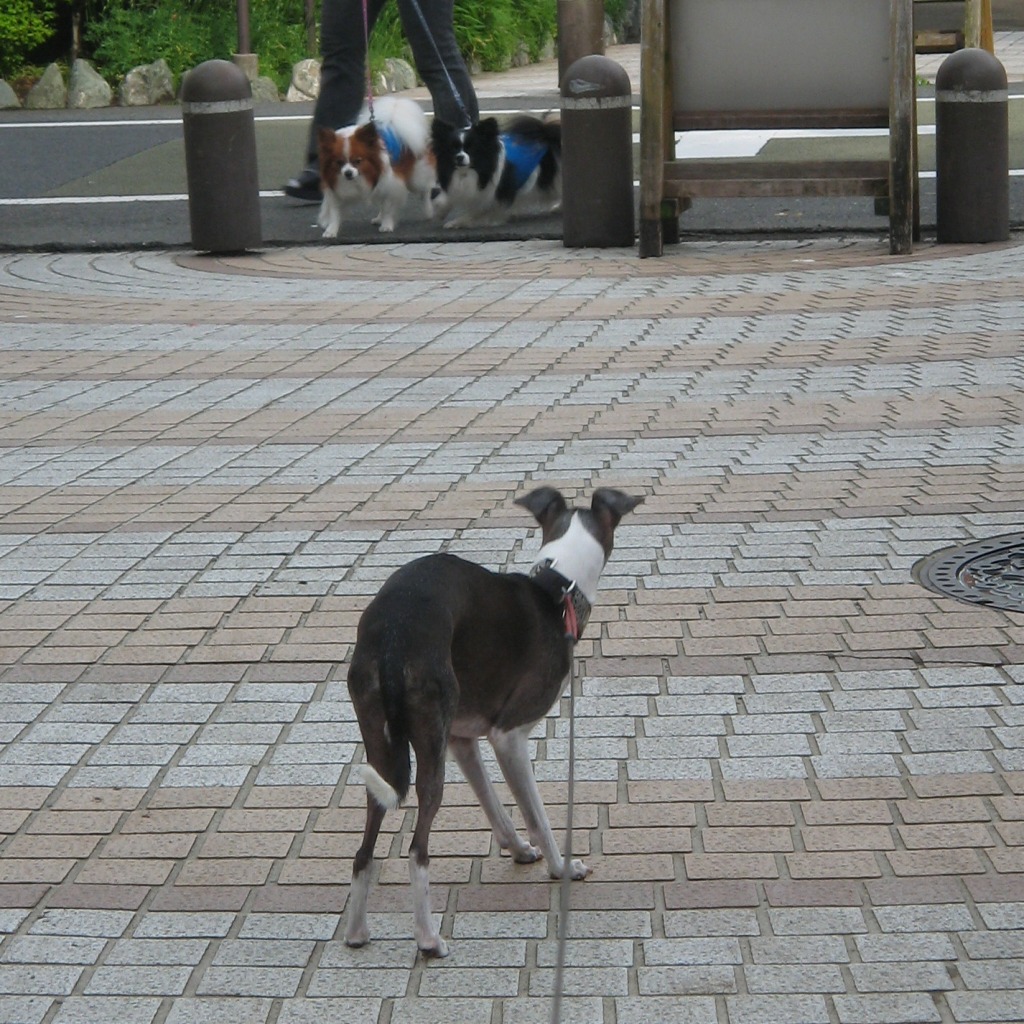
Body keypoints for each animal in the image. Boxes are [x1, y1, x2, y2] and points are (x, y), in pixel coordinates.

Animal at [316, 96, 436, 237]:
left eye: (358, 161)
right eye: (339, 162)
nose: (348, 173)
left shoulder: (391, 184)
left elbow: (388, 207)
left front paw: (387, 225)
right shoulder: (335, 191)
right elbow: (335, 213)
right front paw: (331, 230)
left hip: (415, 179)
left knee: (425, 190)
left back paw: (428, 211)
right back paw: (379, 218)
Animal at [344, 487, 643, 957]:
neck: (556, 585)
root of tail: (394, 638)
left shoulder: (462, 738)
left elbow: (495, 808)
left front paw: (518, 849)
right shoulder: (509, 736)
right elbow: (537, 816)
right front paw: (561, 866)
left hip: (383, 743)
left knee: (364, 848)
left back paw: (357, 931)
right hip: (428, 751)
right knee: (417, 849)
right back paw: (428, 938)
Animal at [430, 115, 562, 228]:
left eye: (471, 148)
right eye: (453, 148)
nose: (459, 157)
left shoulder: (491, 193)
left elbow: (479, 210)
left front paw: (460, 221)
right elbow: (448, 197)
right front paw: (440, 212)